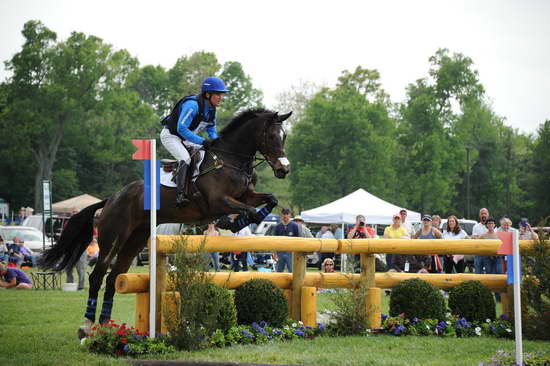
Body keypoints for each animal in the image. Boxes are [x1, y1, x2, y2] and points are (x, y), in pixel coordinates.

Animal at [38, 107, 294, 336]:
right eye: (272, 136)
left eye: (284, 137)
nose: (284, 169)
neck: (230, 160)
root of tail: (111, 198)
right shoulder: (219, 201)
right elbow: (248, 211)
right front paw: (235, 222)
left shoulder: (247, 195)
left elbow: (270, 199)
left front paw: (243, 220)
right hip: (113, 239)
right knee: (97, 276)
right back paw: (87, 326)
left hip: (135, 241)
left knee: (113, 279)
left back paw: (105, 326)